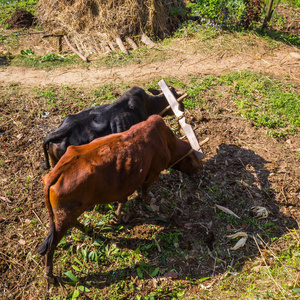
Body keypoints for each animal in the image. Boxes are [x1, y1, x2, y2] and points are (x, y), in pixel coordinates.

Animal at [36, 115, 203, 282]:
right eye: (195, 160)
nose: (200, 171)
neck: (167, 141)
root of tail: (56, 172)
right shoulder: (153, 173)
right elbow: (145, 192)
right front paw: (149, 202)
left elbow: (123, 201)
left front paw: (117, 218)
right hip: (63, 219)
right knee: (52, 245)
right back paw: (49, 275)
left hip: (68, 214)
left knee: (73, 223)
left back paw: (92, 232)